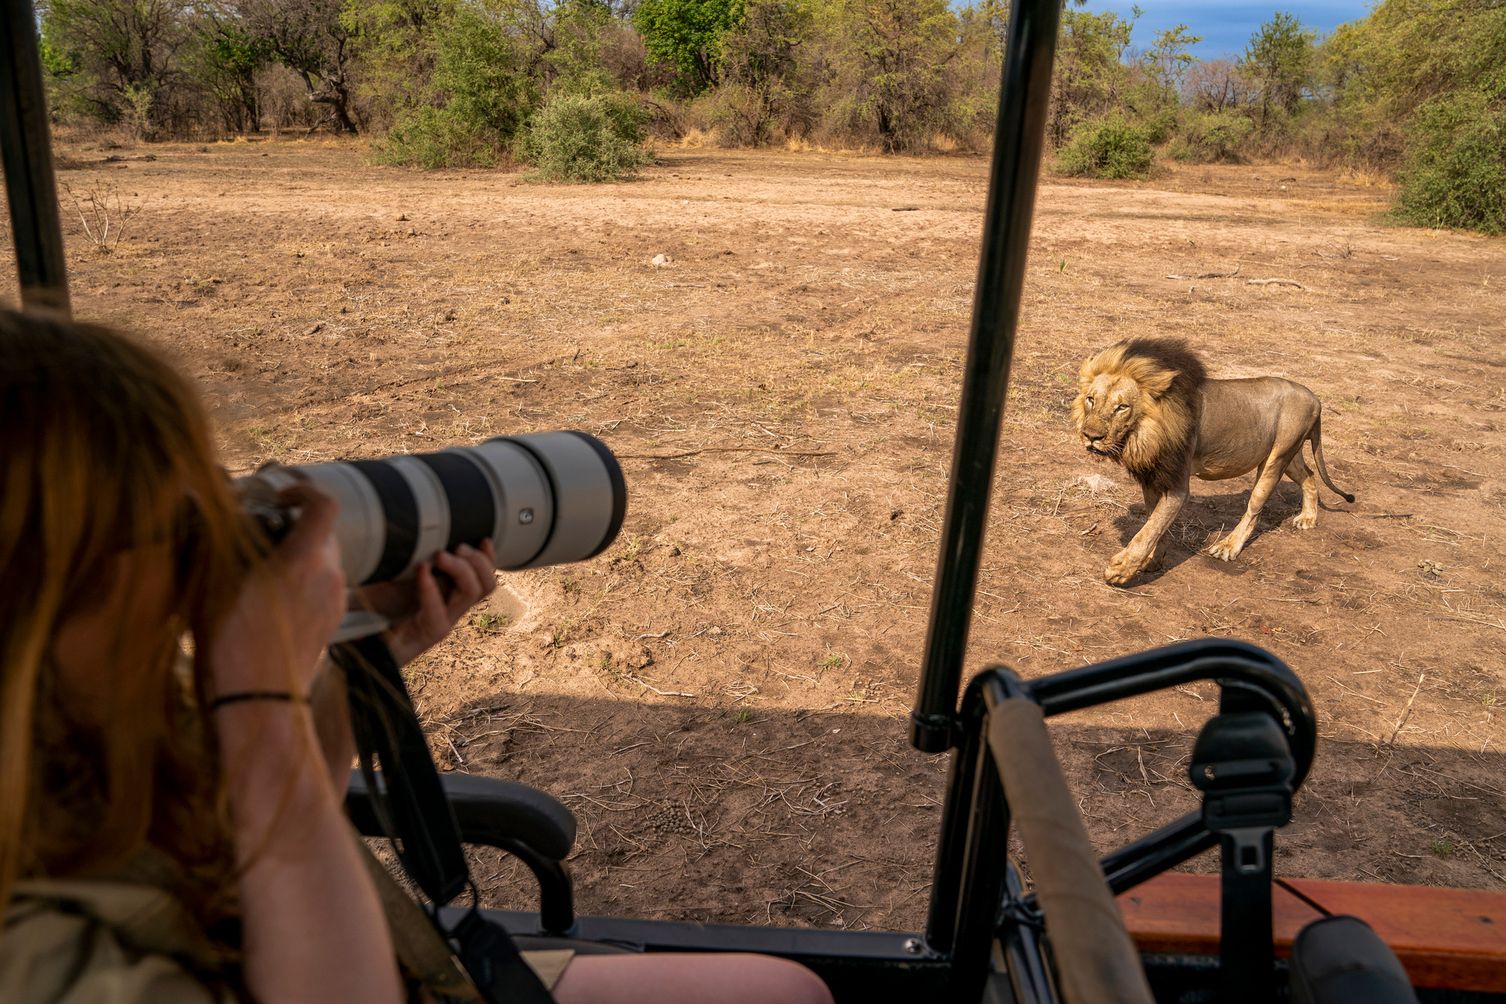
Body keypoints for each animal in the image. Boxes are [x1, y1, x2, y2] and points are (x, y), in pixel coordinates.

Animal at [1072, 338, 1355, 586]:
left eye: (1122, 407)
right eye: (1091, 399)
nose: (1091, 437)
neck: (1143, 434)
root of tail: (1315, 398)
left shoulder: (1177, 485)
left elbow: (1149, 530)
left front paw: (1121, 570)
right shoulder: (1153, 478)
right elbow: (1156, 524)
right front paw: (1153, 560)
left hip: (1276, 459)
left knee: (1254, 508)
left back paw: (1228, 547)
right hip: (1290, 456)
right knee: (1309, 475)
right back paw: (1308, 518)